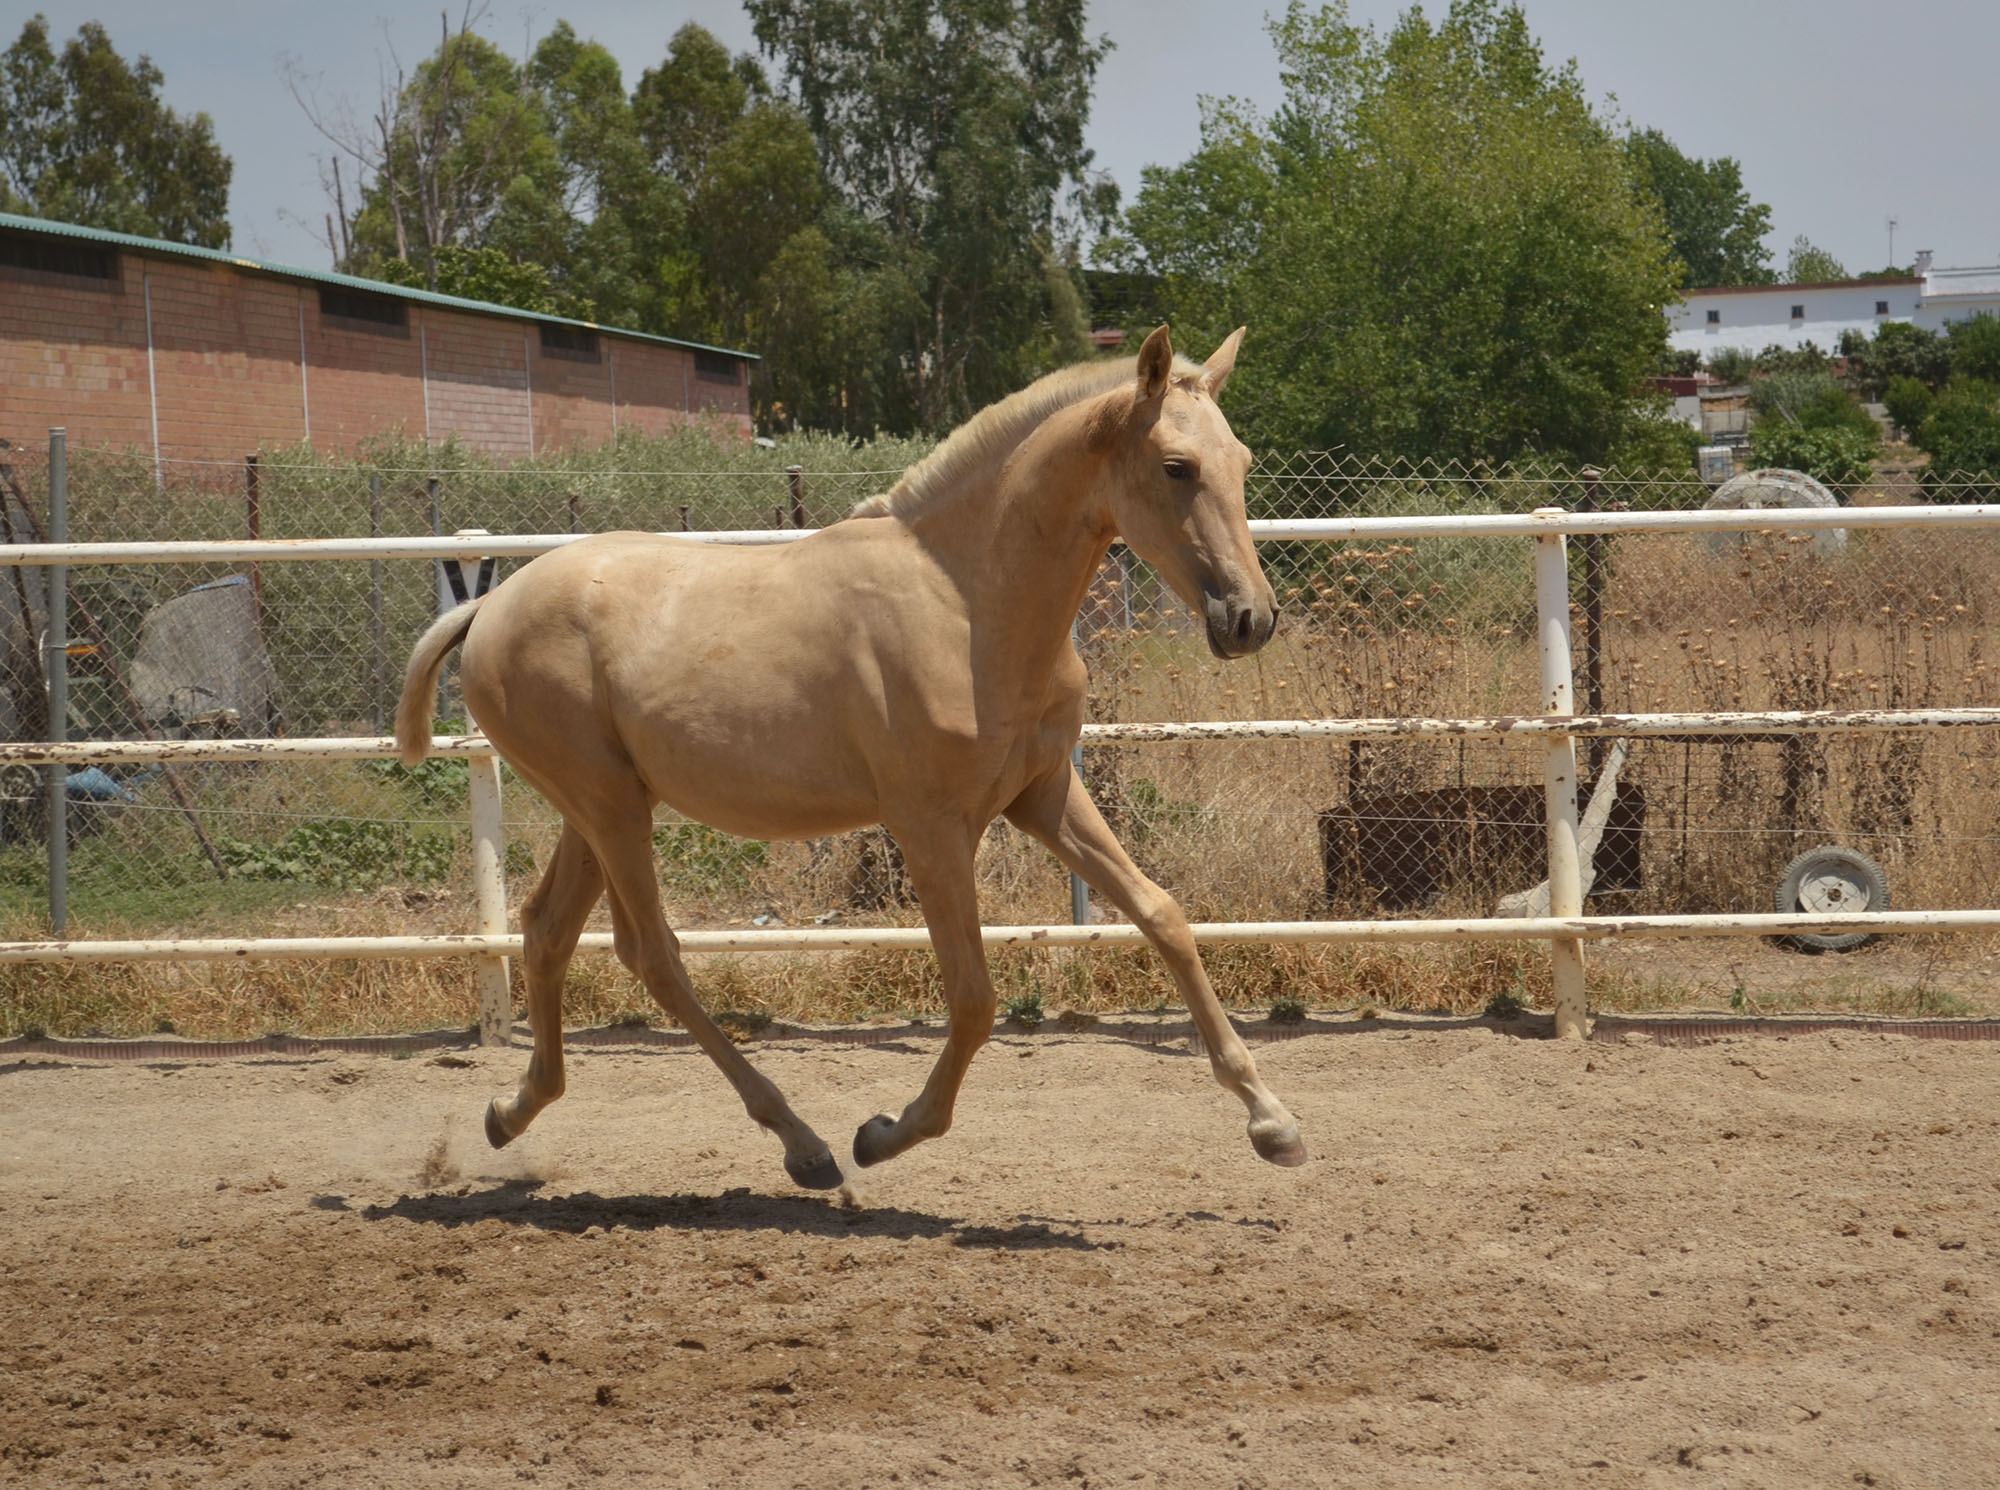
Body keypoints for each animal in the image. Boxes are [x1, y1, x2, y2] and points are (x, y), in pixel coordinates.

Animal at [402, 322, 1312, 1184]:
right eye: (1175, 466)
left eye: (1241, 461)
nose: (1250, 619)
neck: (967, 603)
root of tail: (488, 609)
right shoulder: (932, 828)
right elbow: (975, 999)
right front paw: (886, 1135)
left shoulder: (1044, 794)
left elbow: (1165, 917)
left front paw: (1273, 1122)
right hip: (608, 808)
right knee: (652, 955)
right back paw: (804, 1146)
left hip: (601, 808)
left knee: (547, 930)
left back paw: (510, 1112)